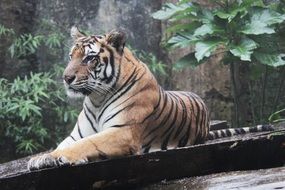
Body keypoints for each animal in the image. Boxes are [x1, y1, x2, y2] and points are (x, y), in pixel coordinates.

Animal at [28, 26, 272, 169]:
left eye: (89, 58)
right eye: (71, 56)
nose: (66, 78)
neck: (96, 99)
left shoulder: (122, 132)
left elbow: (87, 144)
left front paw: (61, 157)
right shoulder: (76, 134)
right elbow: (64, 145)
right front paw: (43, 157)